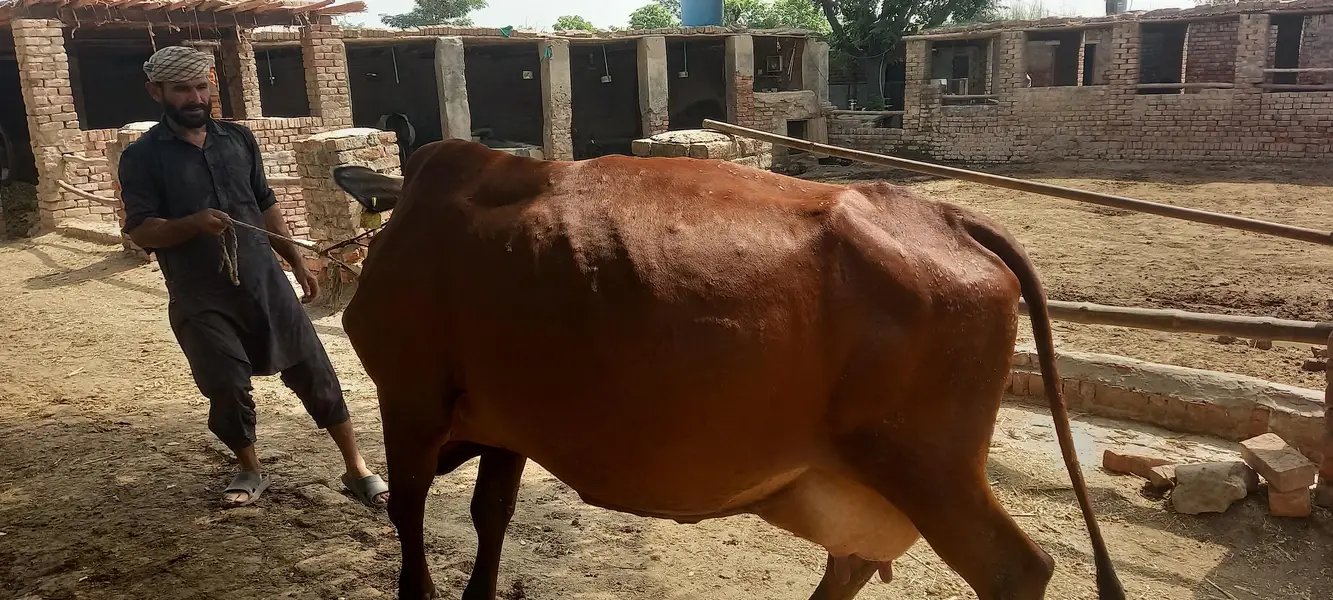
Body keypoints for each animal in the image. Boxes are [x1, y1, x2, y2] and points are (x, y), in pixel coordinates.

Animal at [331, 139, 1125, 600]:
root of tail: (947, 216)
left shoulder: (409, 400)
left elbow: (407, 510)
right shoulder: (506, 428)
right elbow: (490, 516)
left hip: (929, 468)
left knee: (1014, 570)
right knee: (850, 563)